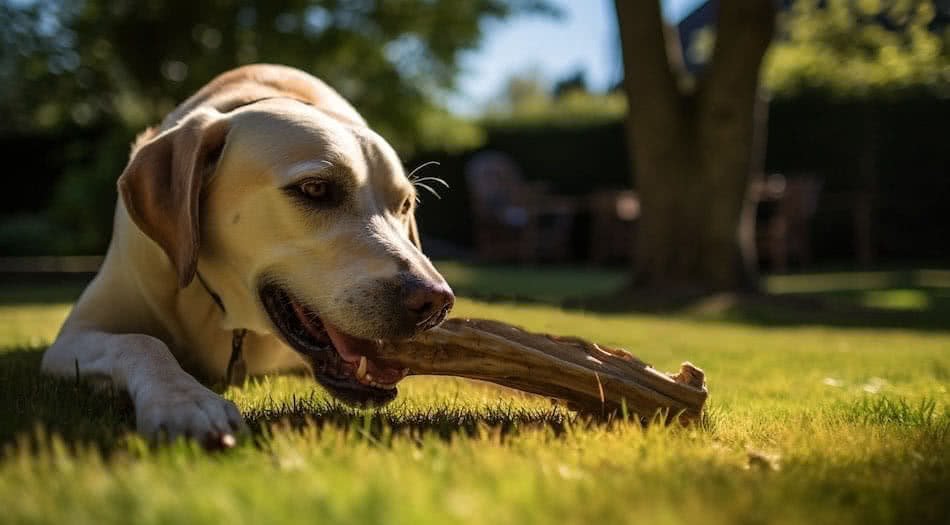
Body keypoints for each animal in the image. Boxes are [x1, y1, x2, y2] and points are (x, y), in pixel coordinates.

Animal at [43, 64, 458, 442]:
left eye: (404, 205)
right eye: (315, 189)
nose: (436, 302)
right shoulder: (71, 338)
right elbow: (142, 342)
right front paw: (184, 401)